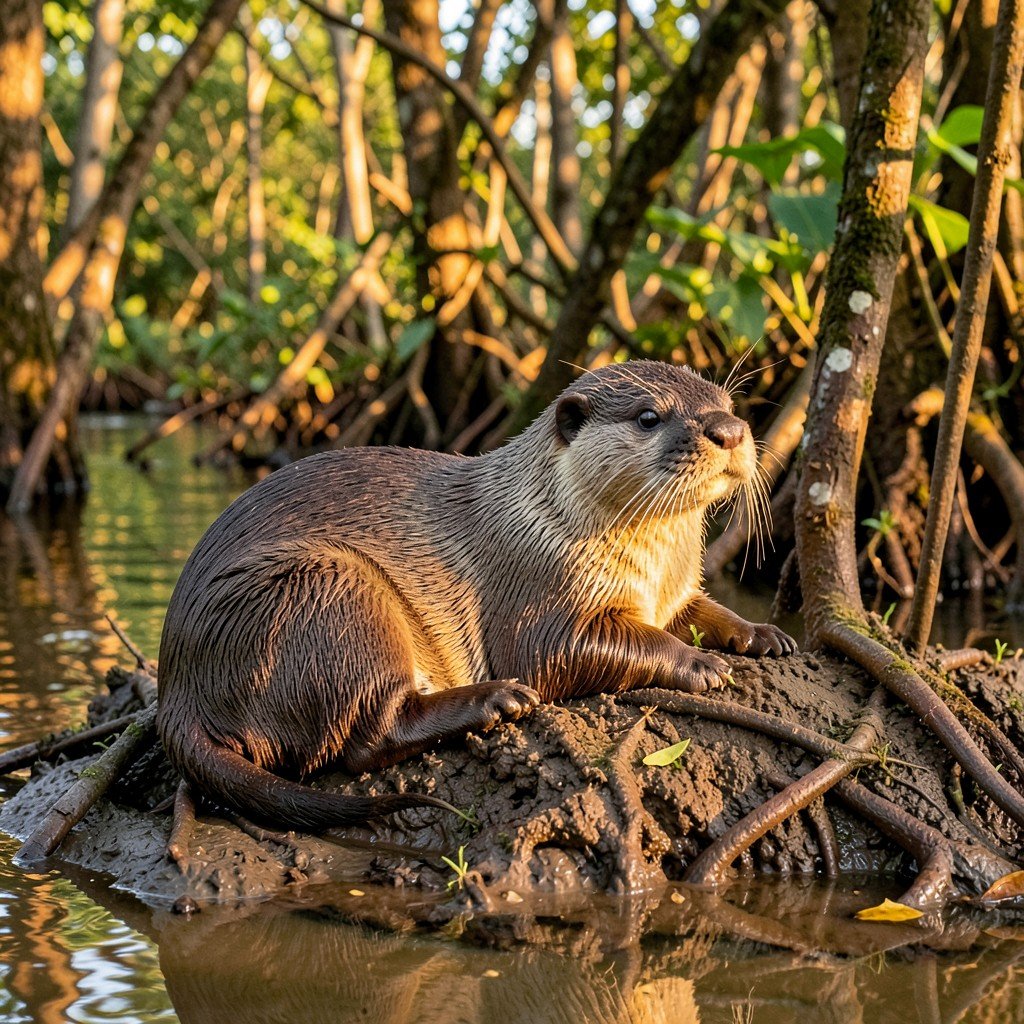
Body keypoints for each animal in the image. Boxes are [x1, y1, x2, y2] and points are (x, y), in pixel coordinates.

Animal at [157, 360, 796, 831]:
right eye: (648, 417)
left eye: (729, 403)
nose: (729, 431)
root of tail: (178, 695)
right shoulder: (541, 591)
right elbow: (572, 650)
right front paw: (699, 663)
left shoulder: (676, 587)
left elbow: (701, 609)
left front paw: (761, 635)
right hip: (326, 589)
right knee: (369, 735)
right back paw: (496, 700)